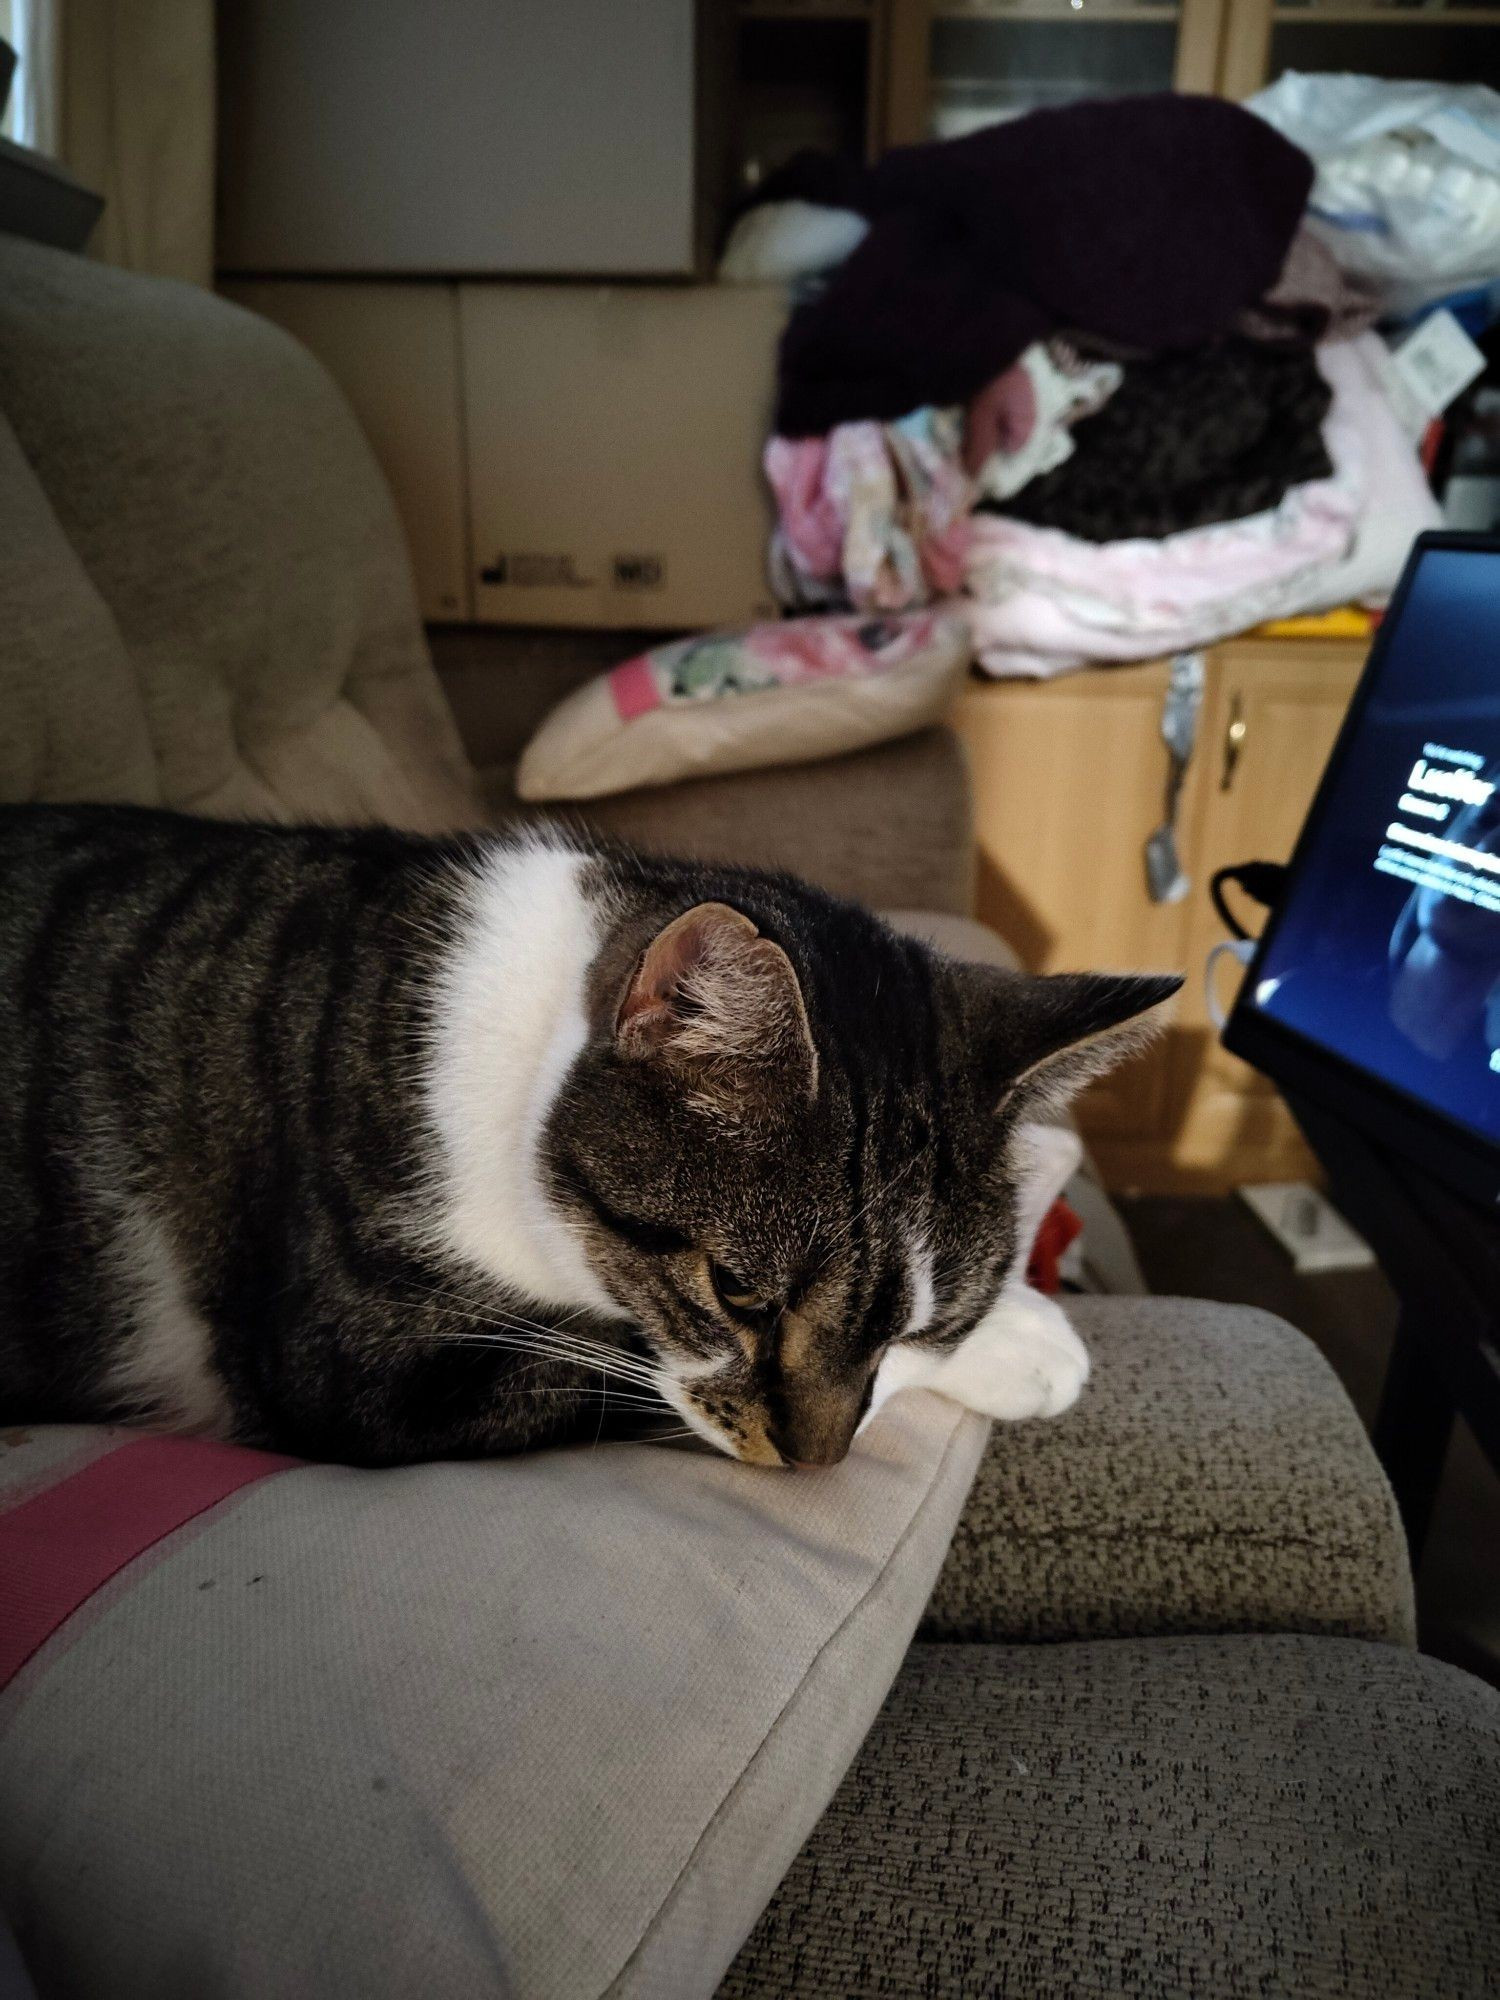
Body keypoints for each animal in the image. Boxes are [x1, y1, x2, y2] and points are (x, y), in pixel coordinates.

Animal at [0, 808, 1176, 1472]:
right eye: (738, 1296)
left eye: (920, 1324)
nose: (815, 1465)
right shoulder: (354, 1355)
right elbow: (613, 1363)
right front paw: (1029, 1338)